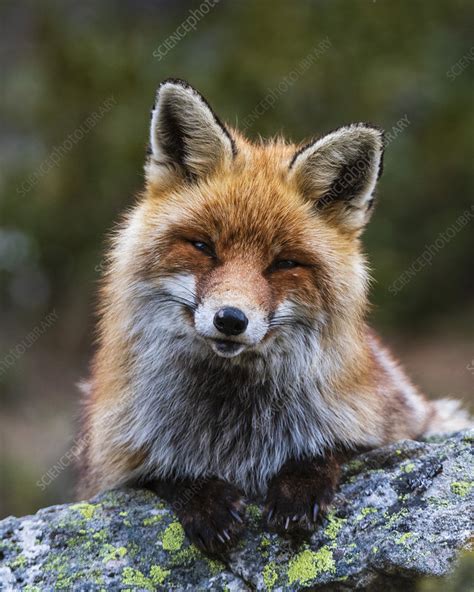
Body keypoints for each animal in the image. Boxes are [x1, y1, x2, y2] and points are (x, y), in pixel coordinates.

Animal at [78, 78, 470, 556]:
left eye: (283, 264)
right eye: (204, 247)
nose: (231, 320)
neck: (235, 423)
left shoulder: (401, 425)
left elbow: (331, 448)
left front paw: (298, 488)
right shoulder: (111, 464)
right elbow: (165, 473)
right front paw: (205, 501)